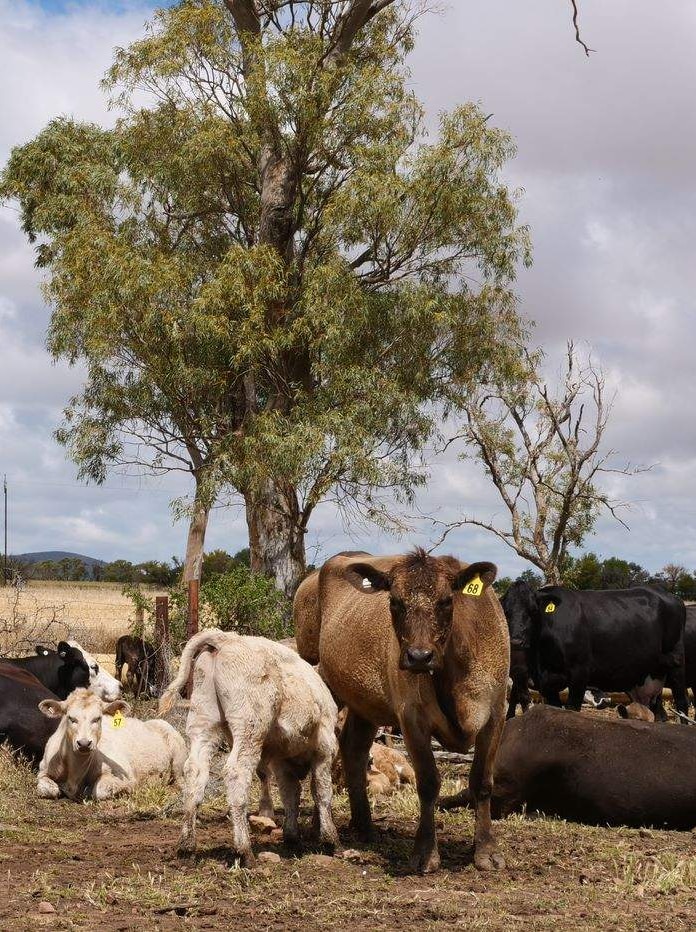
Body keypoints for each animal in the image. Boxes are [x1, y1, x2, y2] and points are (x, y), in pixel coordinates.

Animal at [37, 684, 185, 800]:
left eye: (97, 718)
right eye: (71, 718)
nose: (84, 743)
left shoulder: (125, 776)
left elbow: (100, 790)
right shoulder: (43, 770)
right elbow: (48, 789)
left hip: (179, 760)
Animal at [160, 628, 340, 868]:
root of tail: (226, 638)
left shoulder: (283, 762)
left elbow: (290, 794)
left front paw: (292, 837)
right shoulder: (324, 749)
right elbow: (322, 791)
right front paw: (330, 839)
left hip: (203, 722)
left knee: (195, 772)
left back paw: (186, 846)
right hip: (249, 728)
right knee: (237, 772)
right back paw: (244, 851)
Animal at [296, 548, 508, 872]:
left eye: (447, 600)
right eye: (395, 602)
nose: (419, 656)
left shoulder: (496, 712)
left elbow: (482, 781)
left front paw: (486, 851)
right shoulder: (411, 718)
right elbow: (429, 782)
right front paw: (426, 853)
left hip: (364, 704)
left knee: (354, 749)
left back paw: (364, 826)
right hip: (320, 680)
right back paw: (323, 829)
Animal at [498, 580, 688, 716]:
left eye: (533, 610)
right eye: (506, 611)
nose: (516, 641)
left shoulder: (579, 673)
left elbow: (572, 709)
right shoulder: (547, 684)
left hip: (676, 665)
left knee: (682, 704)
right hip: (647, 678)